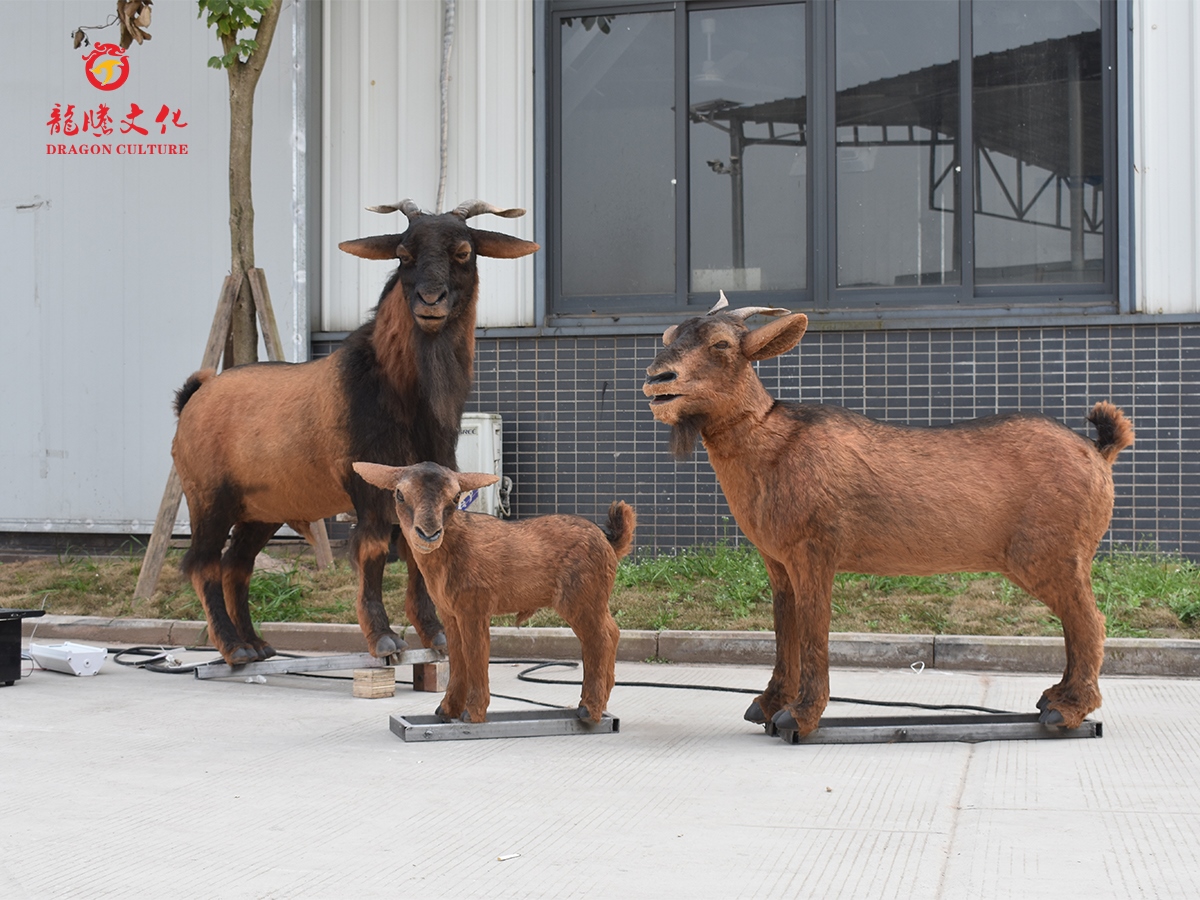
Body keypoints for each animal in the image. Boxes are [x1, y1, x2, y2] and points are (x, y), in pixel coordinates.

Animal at [171, 202, 537, 672]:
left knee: (237, 565)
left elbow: (421, 549)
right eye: (403, 254)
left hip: (262, 509)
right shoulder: (369, 488)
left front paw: (435, 635)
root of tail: (193, 399)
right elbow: (374, 550)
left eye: (463, 252)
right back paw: (232, 646)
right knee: (204, 565)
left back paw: (256, 645)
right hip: (209, 498)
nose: (430, 301)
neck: (392, 384)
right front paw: (383, 638)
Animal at [350, 465, 633, 724]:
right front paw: (447, 710)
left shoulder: (474, 607)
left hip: (581, 598)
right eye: (399, 494)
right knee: (612, 632)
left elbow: (475, 652)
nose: (428, 533)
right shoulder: (449, 613)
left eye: (456, 497)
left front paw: (472, 713)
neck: (453, 547)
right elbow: (457, 654)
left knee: (599, 638)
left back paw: (589, 709)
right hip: (594, 600)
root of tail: (609, 542)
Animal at [643, 297, 1128, 739]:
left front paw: (800, 717)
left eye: (722, 344)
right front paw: (766, 706)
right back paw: (1053, 698)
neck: (772, 442)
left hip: (1050, 555)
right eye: (667, 338)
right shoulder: (777, 561)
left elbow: (814, 628)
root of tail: (1099, 451)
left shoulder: (814, 551)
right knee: (1077, 621)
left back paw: (1066, 710)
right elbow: (785, 627)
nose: (656, 380)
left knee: (1090, 620)